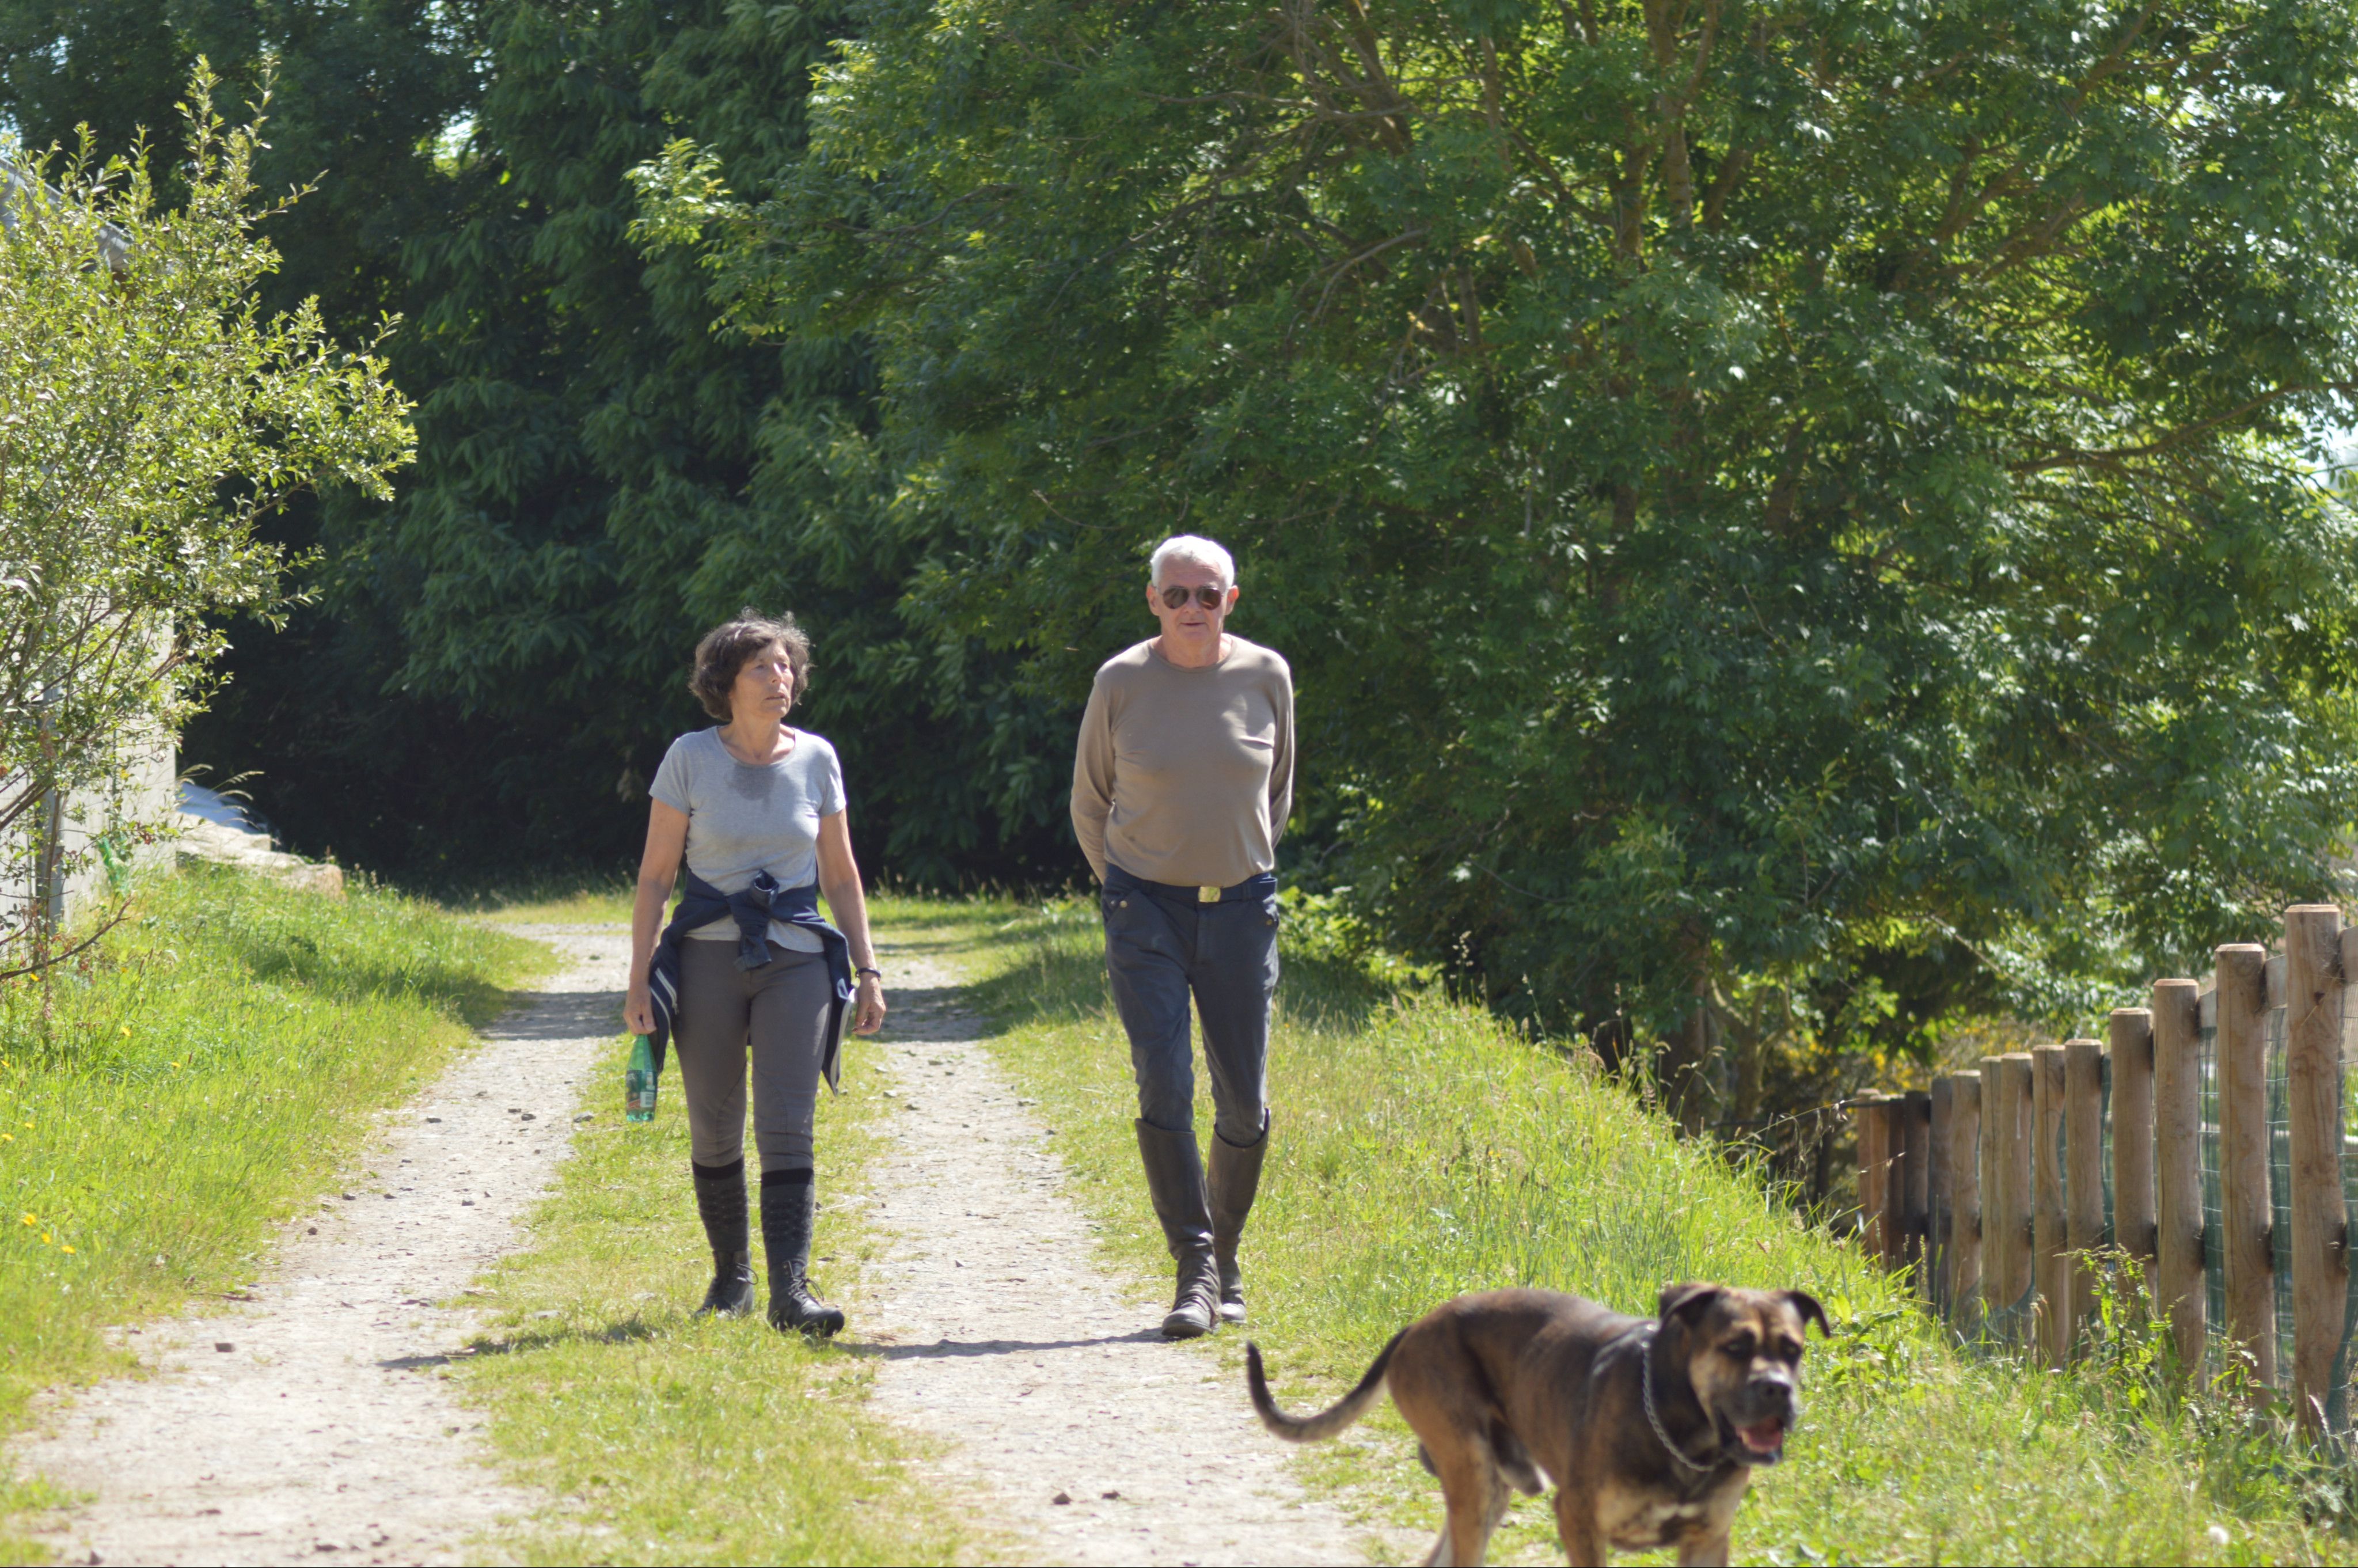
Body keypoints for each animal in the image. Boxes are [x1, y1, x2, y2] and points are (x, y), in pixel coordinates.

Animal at [1254, 1282, 1820, 1565]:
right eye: (1736, 1346)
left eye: (1792, 1350)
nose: (1777, 1388)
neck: (1686, 1437)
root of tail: (1417, 1325)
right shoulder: (1579, 1522)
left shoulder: (1706, 1540)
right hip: (1473, 1474)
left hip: (1490, 1484)